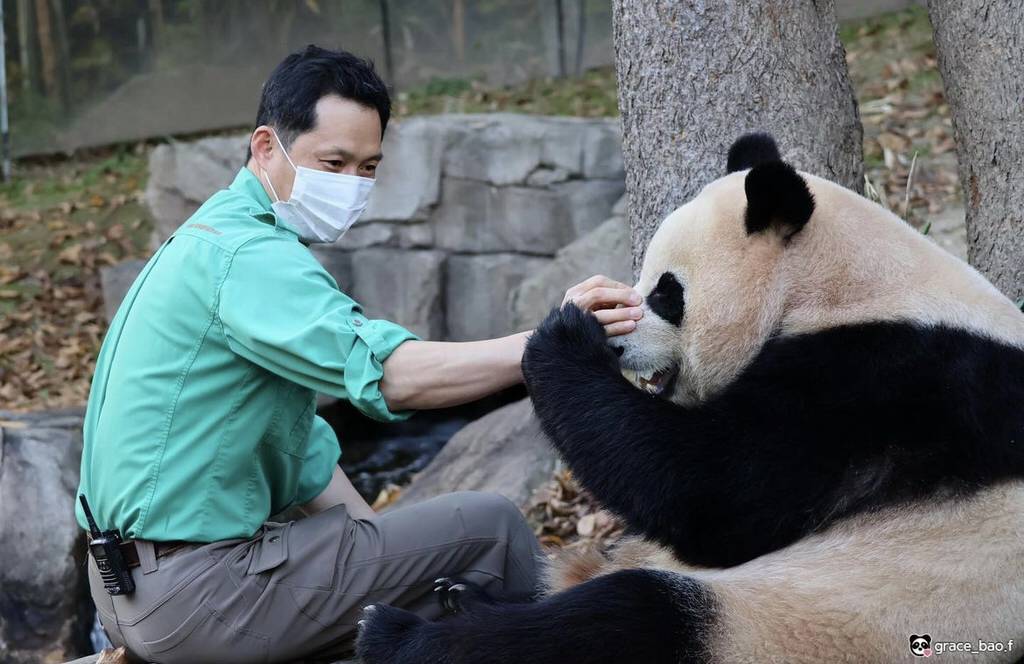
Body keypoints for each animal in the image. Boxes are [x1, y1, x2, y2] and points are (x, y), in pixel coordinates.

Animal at [354, 132, 1024, 659]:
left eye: (665, 293)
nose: (621, 347)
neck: (851, 283)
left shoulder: (881, 383)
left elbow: (712, 491)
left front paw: (567, 332)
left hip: (797, 624)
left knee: (629, 621)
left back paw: (399, 633)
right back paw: (462, 596)